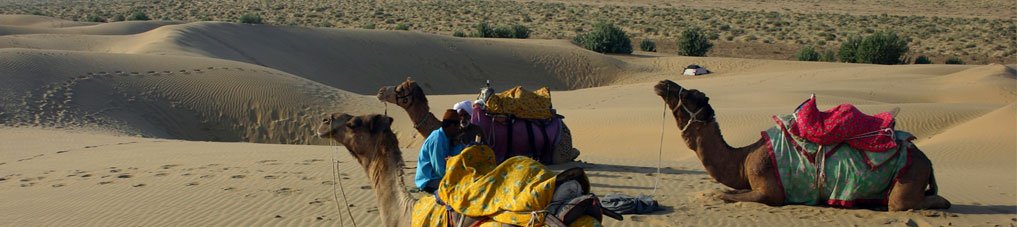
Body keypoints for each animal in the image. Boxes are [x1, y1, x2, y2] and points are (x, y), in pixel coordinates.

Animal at [654, 79, 947, 210]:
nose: (662, 83)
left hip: (909, 176)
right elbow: (727, 191)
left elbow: (724, 195)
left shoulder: (770, 192)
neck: (744, 157)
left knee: (915, 202)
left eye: (689, 96)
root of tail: (928, 160)